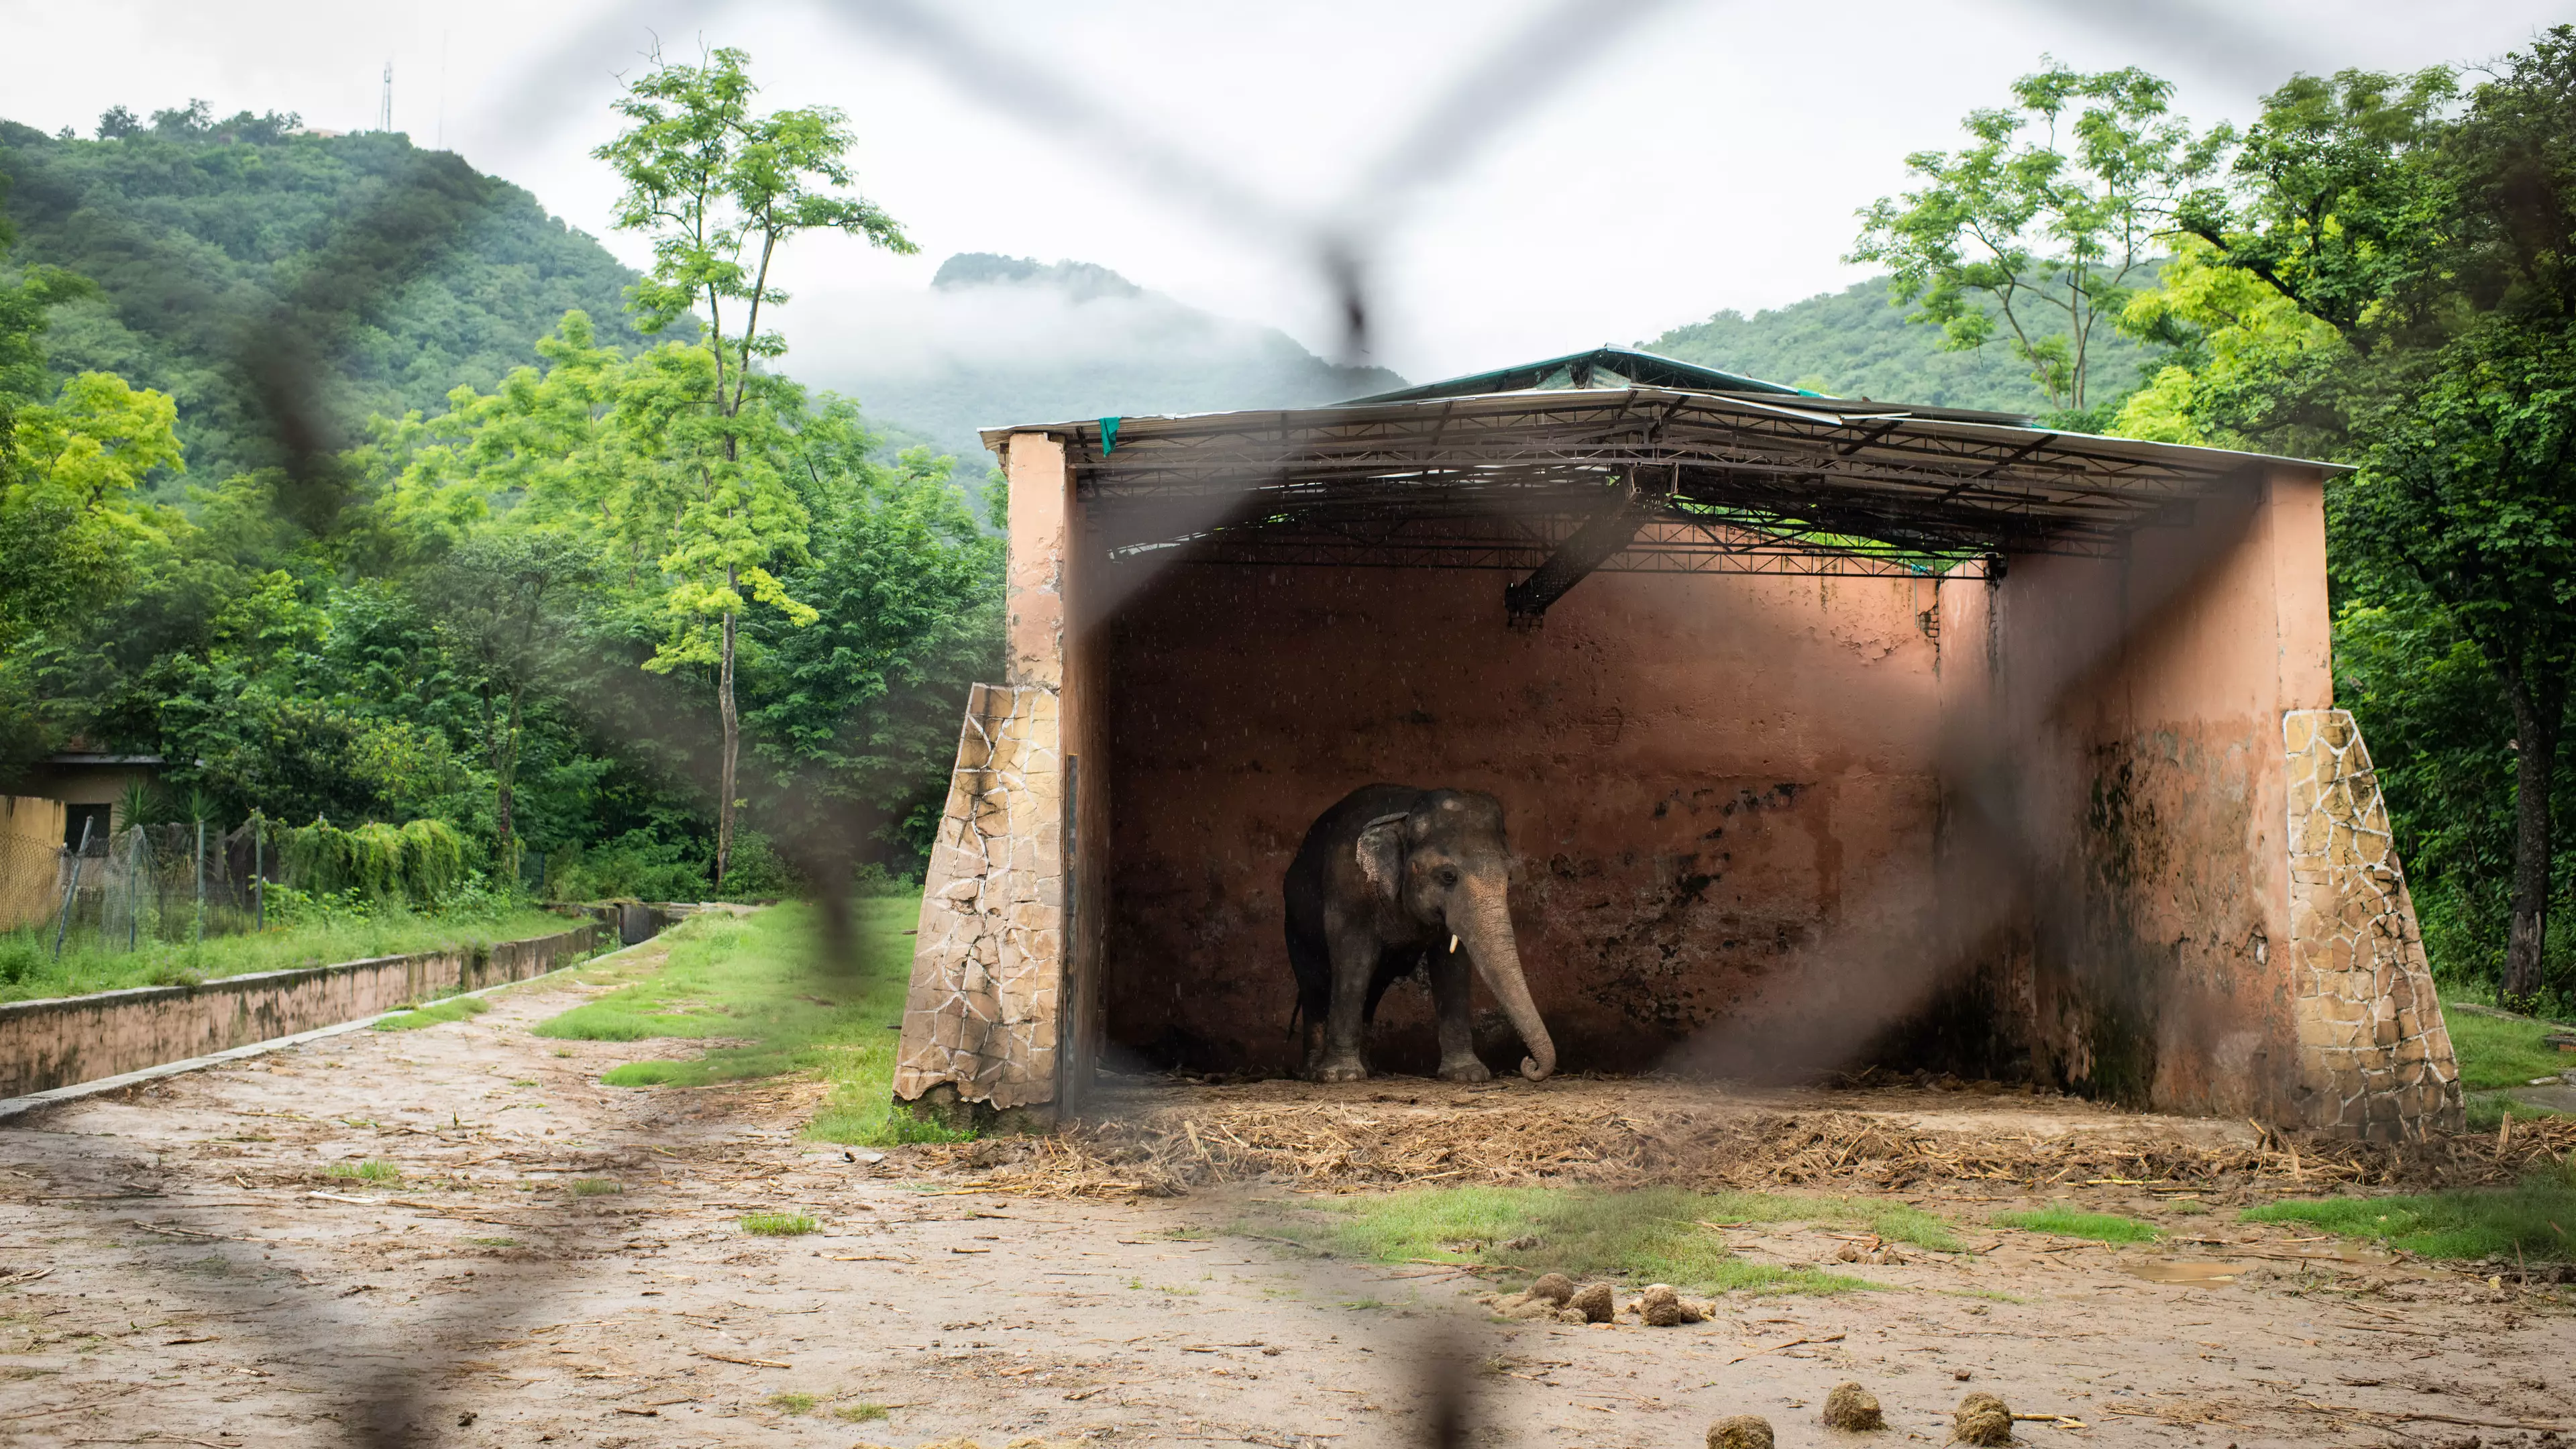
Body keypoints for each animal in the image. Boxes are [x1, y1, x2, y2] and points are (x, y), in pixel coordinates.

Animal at [1283, 784, 1556, 1077]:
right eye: (1448, 876)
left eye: (1508, 877)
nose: (1529, 1064)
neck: (1407, 813)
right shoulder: (1346, 889)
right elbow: (1354, 959)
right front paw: (1340, 1076)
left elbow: (1452, 965)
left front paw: (1467, 1074)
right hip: (1294, 924)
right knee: (1315, 984)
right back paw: (1313, 1070)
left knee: (1374, 986)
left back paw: (1368, 1068)